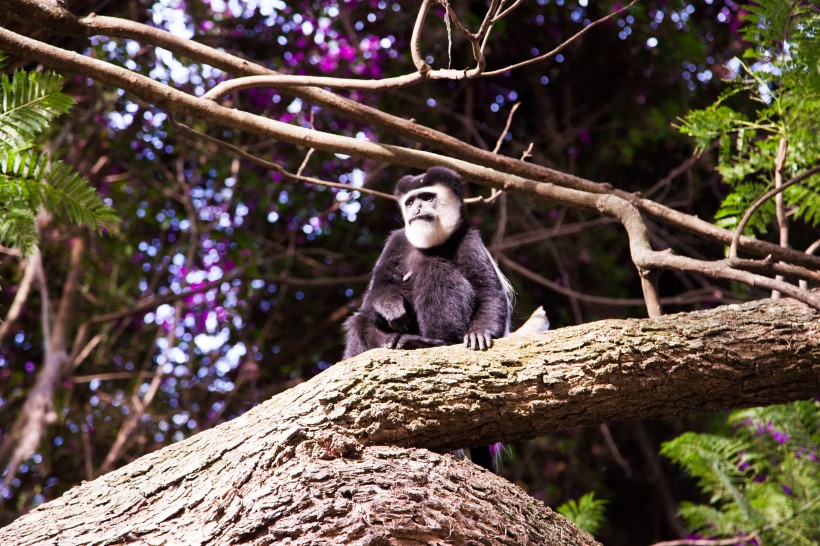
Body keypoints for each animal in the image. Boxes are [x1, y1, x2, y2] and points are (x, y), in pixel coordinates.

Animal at [342, 168, 512, 360]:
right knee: (361, 321)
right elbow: (380, 286)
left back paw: (429, 342)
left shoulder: (470, 240)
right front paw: (391, 307)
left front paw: (480, 333)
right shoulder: (396, 242)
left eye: (427, 197)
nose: (416, 209)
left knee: (435, 268)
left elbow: (487, 290)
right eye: (410, 202)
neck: (429, 244)